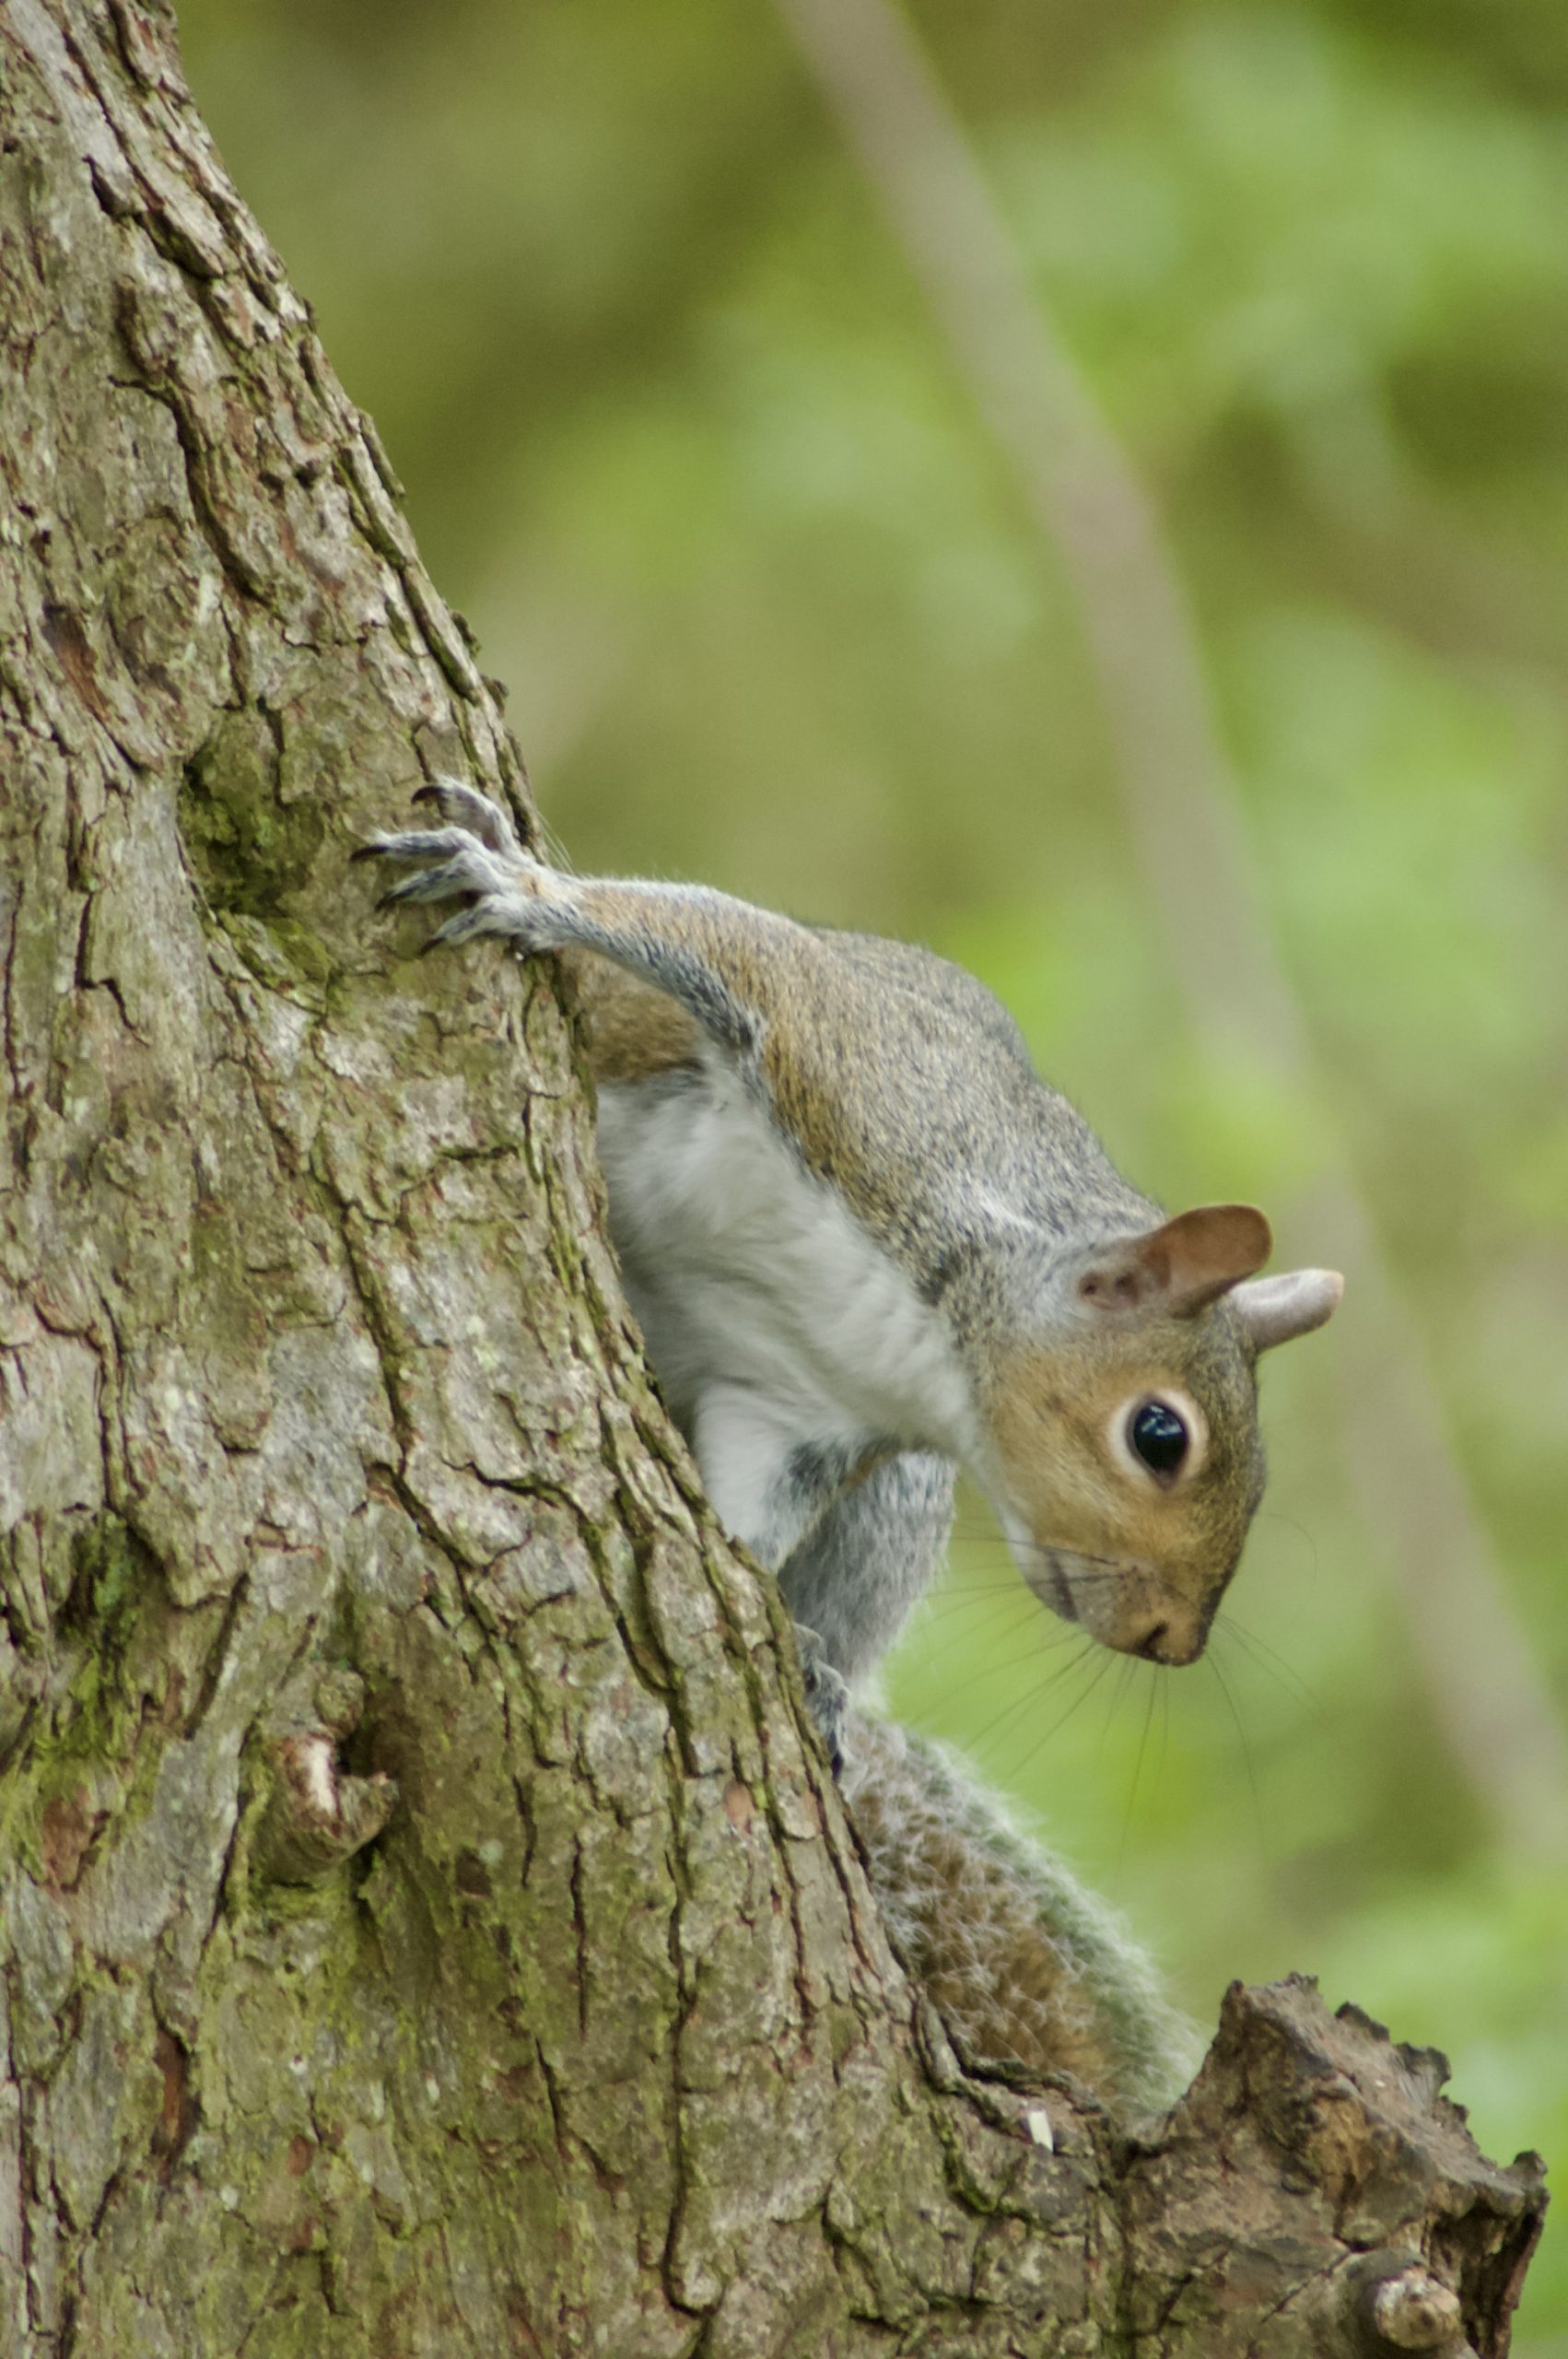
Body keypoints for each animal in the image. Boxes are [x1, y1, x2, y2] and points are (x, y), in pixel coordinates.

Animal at [365, 775, 1342, 2105]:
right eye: (1158, 1434)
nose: (1169, 1642)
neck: (919, 1341)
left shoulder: (794, 1414)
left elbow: (739, 1530)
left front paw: (759, 1614)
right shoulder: (844, 1071)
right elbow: (711, 939)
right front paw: (517, 882)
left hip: (897, 1501)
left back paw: (821, 1674)